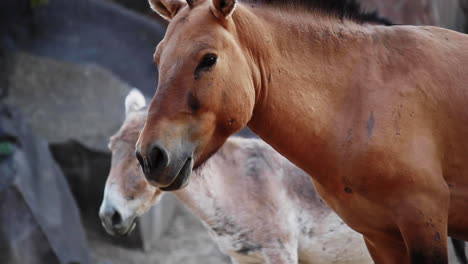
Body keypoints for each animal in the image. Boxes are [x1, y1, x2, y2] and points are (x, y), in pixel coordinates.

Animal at [135, 1, 468, 262]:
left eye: (209, 59)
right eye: (158, 59)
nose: (151, 156)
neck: (363, 97)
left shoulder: (422, 223)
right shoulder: (380, 237)